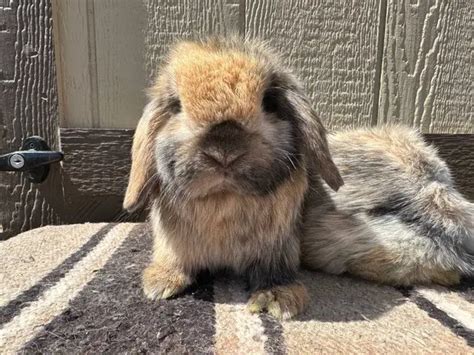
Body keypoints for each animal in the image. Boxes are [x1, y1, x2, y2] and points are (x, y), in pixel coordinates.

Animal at [123, 36, 474, 320]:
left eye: (268, 101)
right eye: (177, 106)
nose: (224, 151)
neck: (224, 198)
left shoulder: (276, 250)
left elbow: (273, 275)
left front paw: (277, 301)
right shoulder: (175, 245)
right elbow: (174, 261)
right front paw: (159, 285)